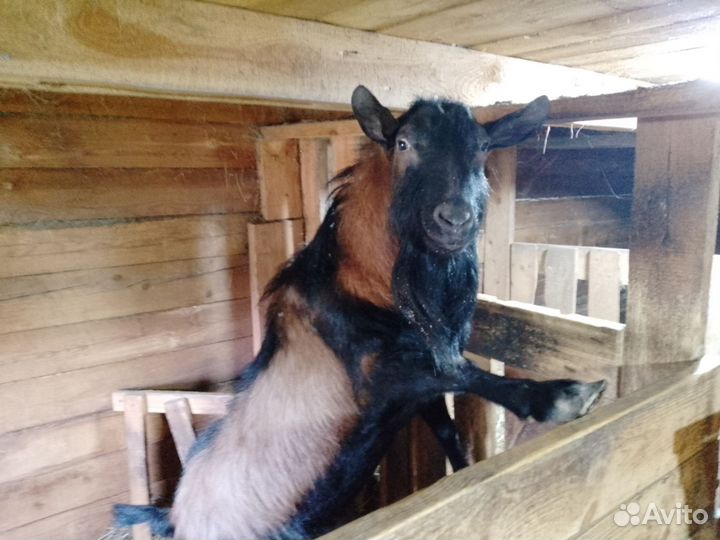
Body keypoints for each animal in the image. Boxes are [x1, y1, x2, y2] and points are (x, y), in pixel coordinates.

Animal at [115, 86, 606, 540]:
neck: (365, 286)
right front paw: (563, 395)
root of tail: (174, 518)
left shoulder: (414, 394)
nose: (455, 220)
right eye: (404, 143)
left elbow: (447, 421)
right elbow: (458, 371)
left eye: (483, 147)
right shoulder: (377, 374)